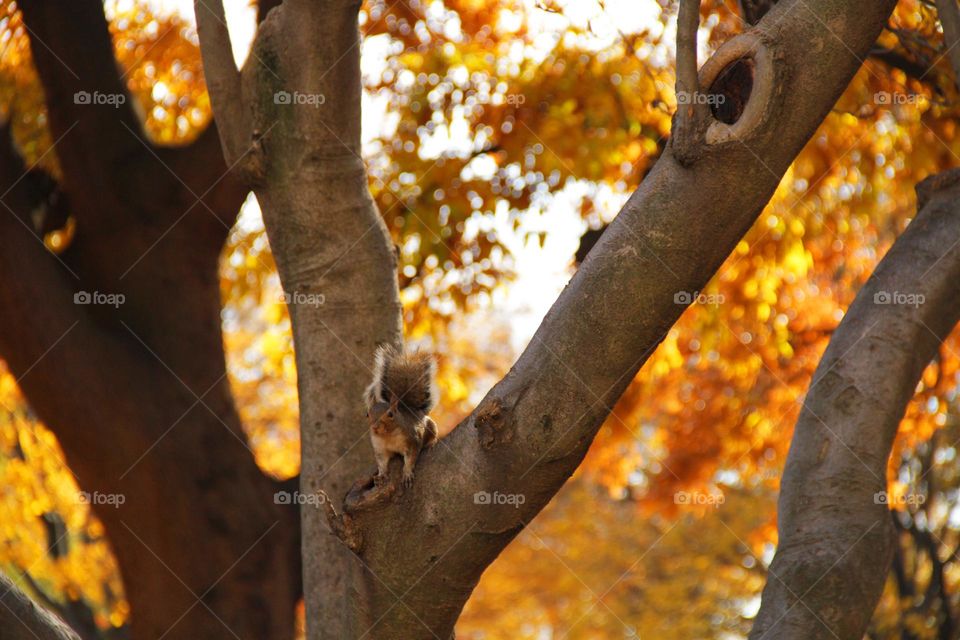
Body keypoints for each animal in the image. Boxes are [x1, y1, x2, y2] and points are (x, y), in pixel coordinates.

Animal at [364, 344, 438, 488]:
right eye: (367, 414)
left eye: (390, 414)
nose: (375, 427)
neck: (388, 436)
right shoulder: (380, 448)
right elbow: (382, 463)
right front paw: (381, 475)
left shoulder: (412, 440)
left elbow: (410, 458)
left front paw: (407, 474)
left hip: (431, 425)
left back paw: (431, 443)